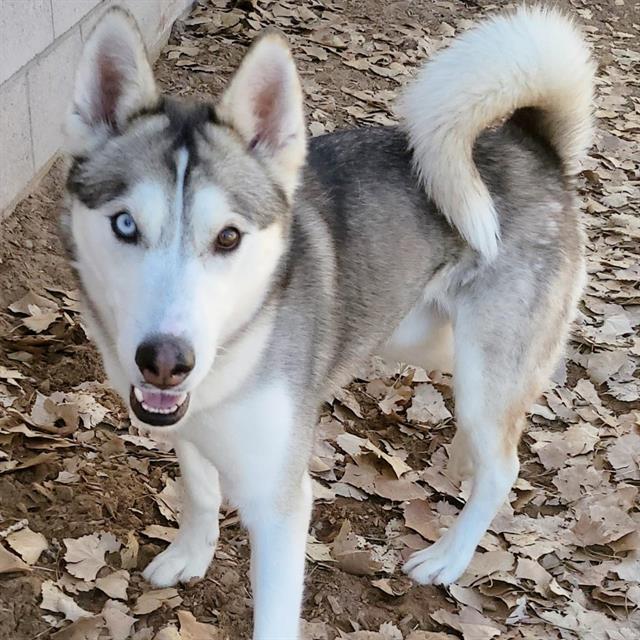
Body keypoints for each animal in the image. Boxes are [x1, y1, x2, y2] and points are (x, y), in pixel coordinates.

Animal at [62, 6, 592, 640]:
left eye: (229, 237)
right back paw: (465, 455)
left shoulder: (280, 503)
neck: (238, 346)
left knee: (503, 463)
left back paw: (450, 554)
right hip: (431, 342)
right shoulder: (187, 422)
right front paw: (192, 552)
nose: (165, 360)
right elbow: (199, 488)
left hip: (486, 365)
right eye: (125, 225)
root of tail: (533, 145)